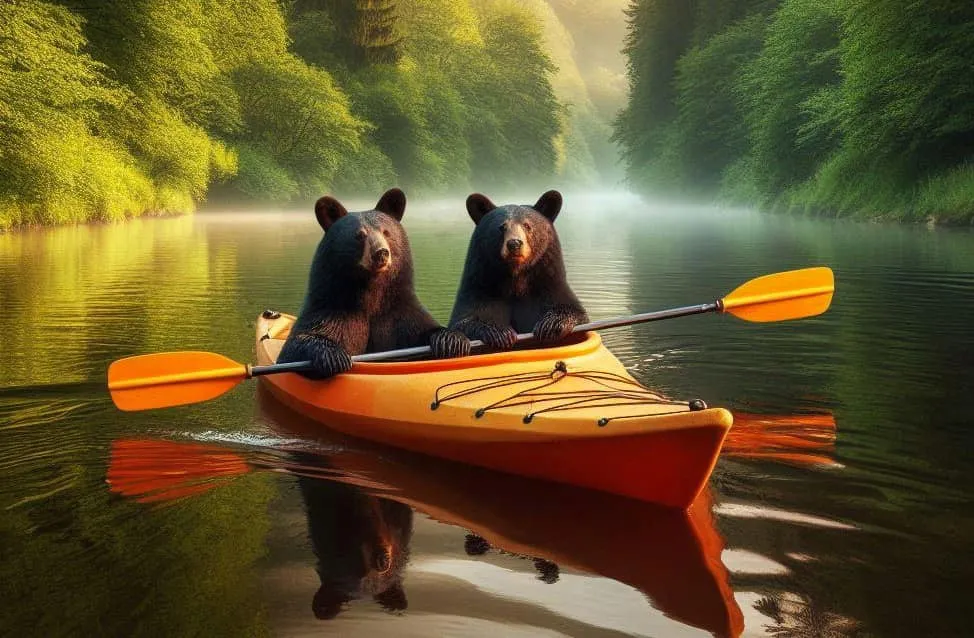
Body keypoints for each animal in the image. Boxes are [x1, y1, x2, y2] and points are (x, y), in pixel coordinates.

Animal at [279, 188, 470, 378]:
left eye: (386, 232)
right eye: (359, 235)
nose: (381, 253)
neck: (371, 292)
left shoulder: (398, 314)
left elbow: (423, 331)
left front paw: (451, 340)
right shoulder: (331, 311)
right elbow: (294, 350)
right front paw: (334, 356)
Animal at [449, 190, 588, 350]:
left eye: (527, 225)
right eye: (501, 227)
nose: (514, 243)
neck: (516, 276)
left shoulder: (549, 283)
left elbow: (575, 312)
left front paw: (550, 325)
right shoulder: (480, 286)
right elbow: (465, 320)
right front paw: (500, 332)